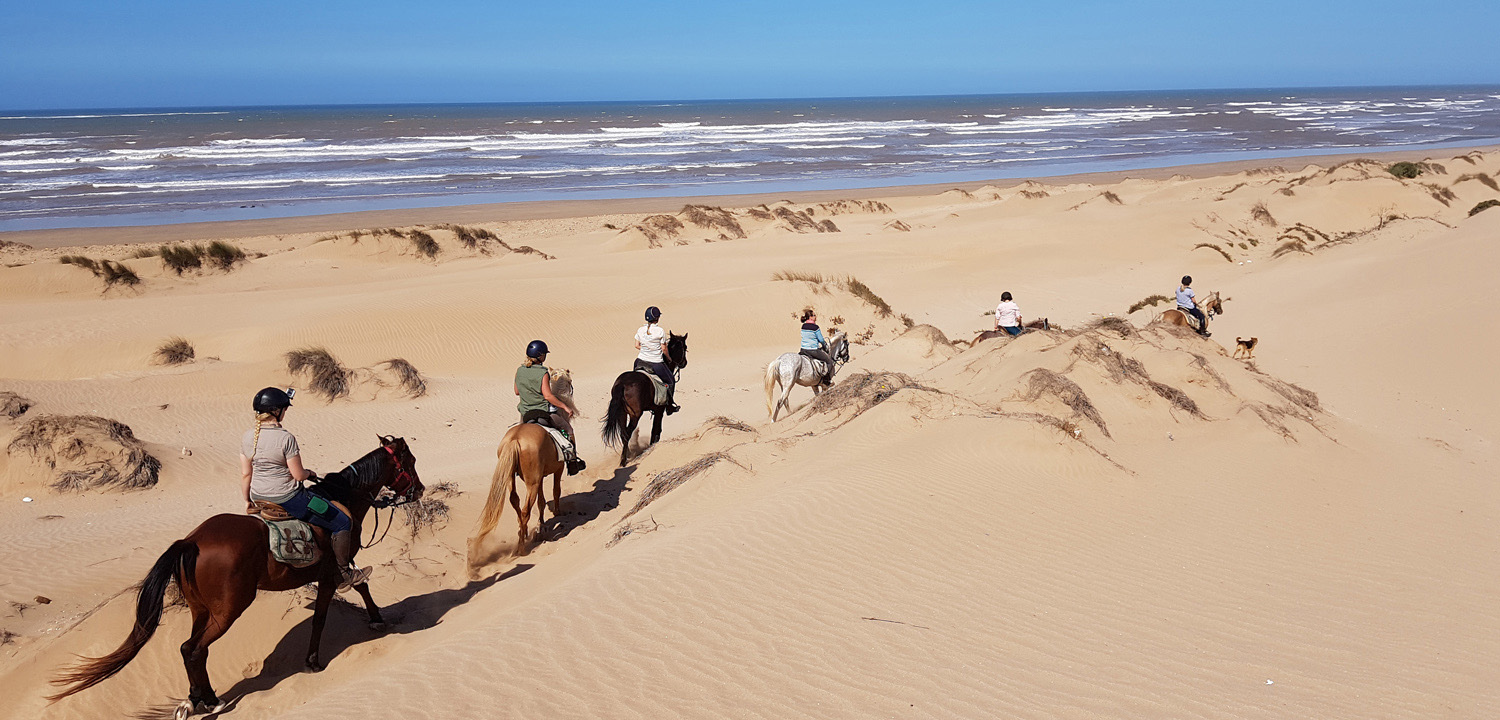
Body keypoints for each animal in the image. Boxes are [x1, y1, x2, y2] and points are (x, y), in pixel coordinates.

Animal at [48, 436, 423, 718]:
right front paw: (314, 661)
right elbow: (331, 607)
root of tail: (191, 541)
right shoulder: (334, 571)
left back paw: (196, 699)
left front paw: (376, 619)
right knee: (195, 649)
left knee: (189, 649)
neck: (342, 497)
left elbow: (362, 587)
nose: (418, 490)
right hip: (229, 608)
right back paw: (211, 701)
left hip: (201, 609)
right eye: (411, 462)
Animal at [467, 371, 579, 568]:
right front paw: (557, 513)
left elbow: (542, 501)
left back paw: (524, 532)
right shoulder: (556, 470)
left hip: (513, 479)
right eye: (570, 382)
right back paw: (521, 548)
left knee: (516, 502)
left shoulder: (540, 476)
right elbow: (555, 491)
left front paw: (541, 524)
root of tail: (515, 439)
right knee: (526, 509)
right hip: (531, 482)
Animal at [601, 332, 688, 466]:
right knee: (627, 433)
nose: (684, 363)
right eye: (685, 347)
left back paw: (626, 456)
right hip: (635, 415)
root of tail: (622, 384)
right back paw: (623, 461)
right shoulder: (659, 410)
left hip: (622, 413)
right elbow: (656, 430)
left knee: (623, 434)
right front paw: (652, 447)